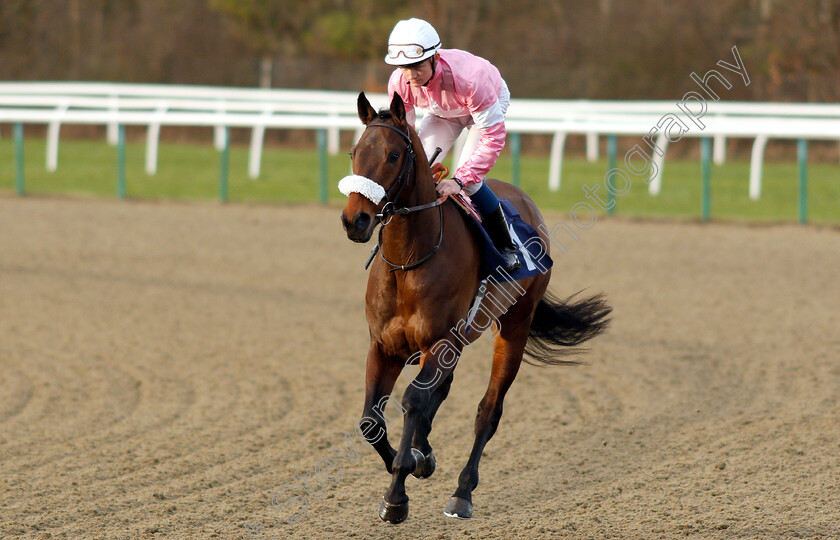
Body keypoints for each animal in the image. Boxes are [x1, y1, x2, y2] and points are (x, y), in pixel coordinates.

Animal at [340, 93, 612, 524]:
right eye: (355, 152)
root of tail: (528, 206)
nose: (356, 220)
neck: (408, 260)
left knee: (488, 411)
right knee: (441, 391)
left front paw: (397, 495)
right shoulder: (384, 346)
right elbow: (371, 421)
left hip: (514, 327)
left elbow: (413, 401)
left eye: (393, 155)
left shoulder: (438, 342)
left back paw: (462, 492)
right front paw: (417, 458)